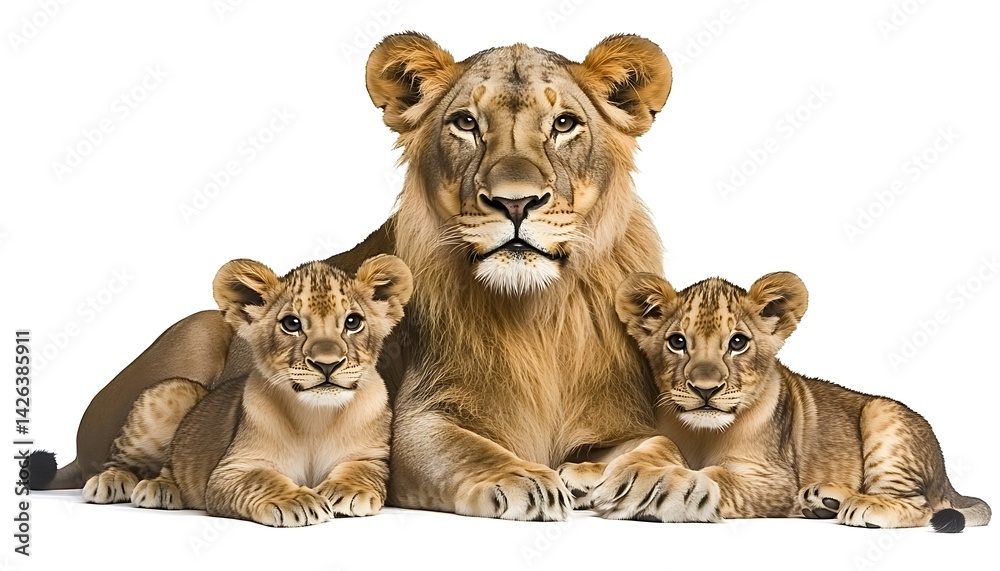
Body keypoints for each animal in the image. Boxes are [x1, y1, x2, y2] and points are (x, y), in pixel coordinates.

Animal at [31, 33, 716, 522]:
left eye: (565, 124)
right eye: (466, 123)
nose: (516, 202)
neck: (538, 314)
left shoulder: (623, 418)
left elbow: (658, 447)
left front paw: (658, 480)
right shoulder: (415, 424)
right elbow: (466, 448)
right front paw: (525, 478)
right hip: (191, 340)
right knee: (97, 462)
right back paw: (132, 483)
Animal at [613, 271, 991, 531]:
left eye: (737, 342)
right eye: (677, 342)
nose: (706, 389)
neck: (701, 434)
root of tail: (946, 477)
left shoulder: (775, 479)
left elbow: (717, 478)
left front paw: (658, 488)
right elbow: (651, 448)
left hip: (883, 413)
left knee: (921, 505)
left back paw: (862, 506)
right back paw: (823, 501)